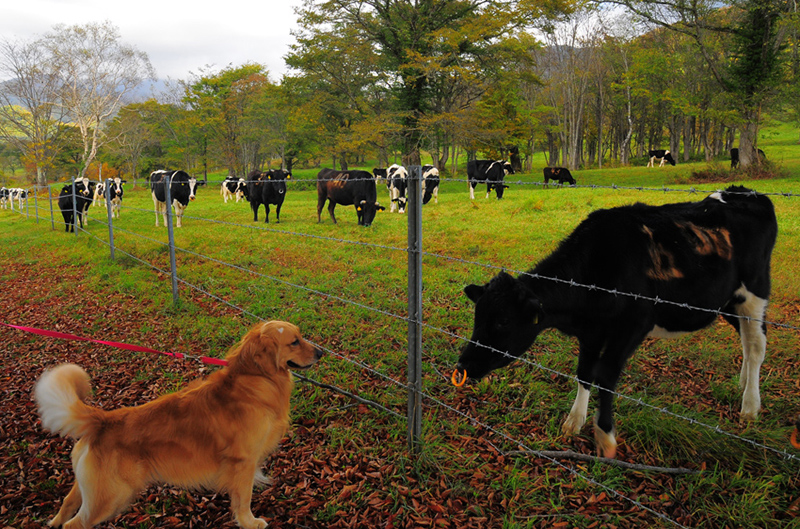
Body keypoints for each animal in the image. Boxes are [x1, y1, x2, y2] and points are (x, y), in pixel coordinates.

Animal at [34, 320, 322, 524]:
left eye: (300, 336)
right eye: (294, 341)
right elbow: (243, 499)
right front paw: (250, 521)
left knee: (66, 506)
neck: (255, 378)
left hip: (89, 491)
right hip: (110, 497)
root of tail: (103, 419)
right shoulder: (243, 461)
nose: (320, 352)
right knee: (75, 523)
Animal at [456, 187, 776, 458]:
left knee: (757, 345)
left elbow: (606, 377)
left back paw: (750, 406)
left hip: (754, 293)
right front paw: (574, 421)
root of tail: (747, 192)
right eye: (477, 316)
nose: (463, 365)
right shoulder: (591, 331)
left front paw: (605, 436)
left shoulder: (633, 326)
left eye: (503, 321)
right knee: (745, 340)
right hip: (726, 302)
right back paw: (743, 383)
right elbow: (584, 372)